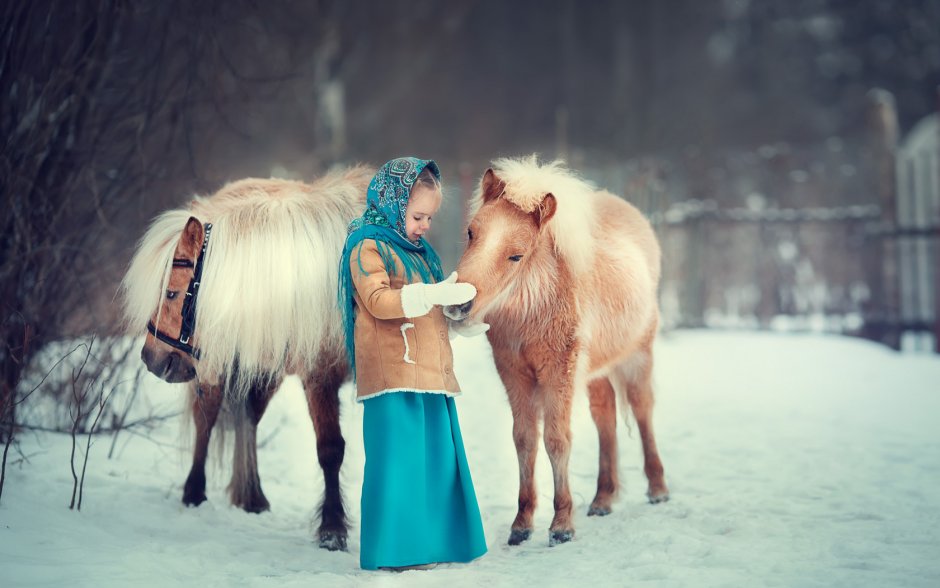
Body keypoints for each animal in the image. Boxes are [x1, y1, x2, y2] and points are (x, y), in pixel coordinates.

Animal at [116, 167, 368, 552]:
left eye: (171, 293)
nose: (152, 359)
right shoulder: (319, 373)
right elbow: (330, 449)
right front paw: (333, 529)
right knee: (207, 419)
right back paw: (196, 494)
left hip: (264, 365)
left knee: (248, 414)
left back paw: (252, 496)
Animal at [446, 156, 668, 548]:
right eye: (471, 233)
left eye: (516, 255)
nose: (458, 305)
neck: (535, 304)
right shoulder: (513, 372)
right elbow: (524, 440)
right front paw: (522, 525)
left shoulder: (558, 370)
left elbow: (556, 439)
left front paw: (561, 524)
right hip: (596, 371)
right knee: (605, 417)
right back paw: (602, 499)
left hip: (637, 357)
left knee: (642, 409)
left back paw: (657, 490)